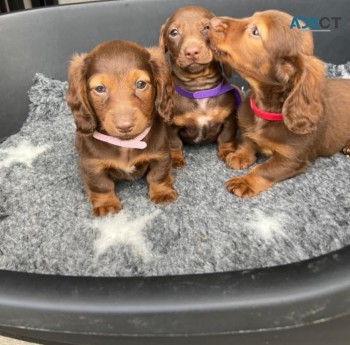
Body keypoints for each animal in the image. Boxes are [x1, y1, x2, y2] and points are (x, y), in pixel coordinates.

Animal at [66, 40, 176, 215]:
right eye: (100, 88)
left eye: (140, 84)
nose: (125, 126)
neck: (127, 143)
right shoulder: (91, 165)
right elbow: (101, 185)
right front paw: (106, 204)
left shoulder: (161, 154)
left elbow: (158, 175)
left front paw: (162, 193)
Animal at [159, 5, 241, 167]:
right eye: (174, 32)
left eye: (207, 27)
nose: (192, 52)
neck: (199, 89)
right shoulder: (171, 126)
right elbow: (174, 143)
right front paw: (175, 158)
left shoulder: (229, 119)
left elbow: (226, 137)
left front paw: (227, 151)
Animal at [208, 10, 350, 198]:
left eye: (255, 31)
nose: (210, 22)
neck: (265, 109)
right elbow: (247, 140)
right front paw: (240, 155)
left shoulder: (291, 158)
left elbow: (265, 169)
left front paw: (245, 181)